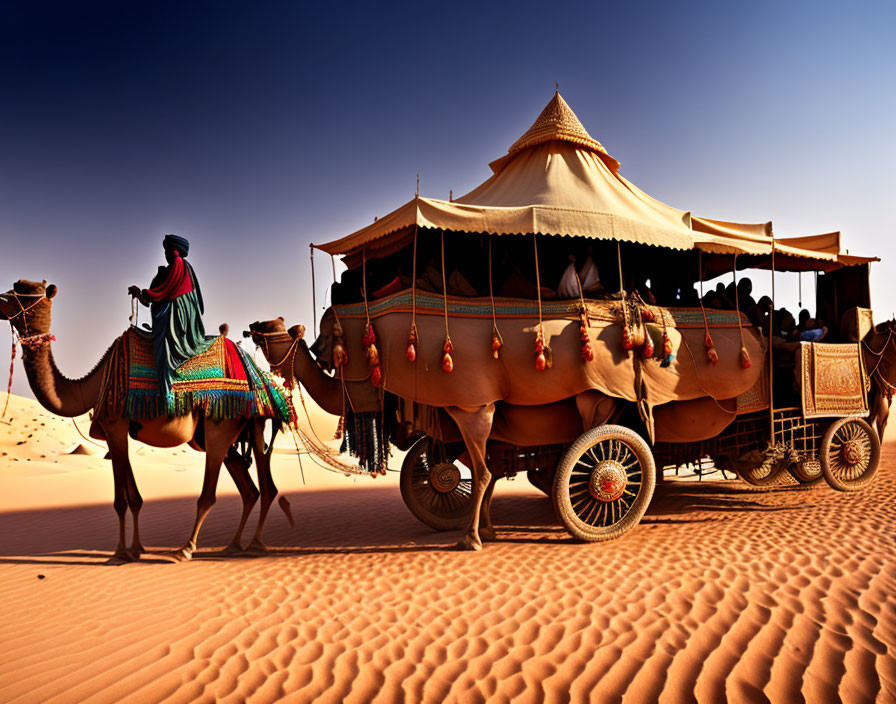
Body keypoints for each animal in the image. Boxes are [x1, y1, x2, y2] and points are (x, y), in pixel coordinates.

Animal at [0, 280, 288, 560]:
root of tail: (257, 377)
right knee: (255, 489)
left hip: (220, 425)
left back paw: (187, 549)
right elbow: (134, 497)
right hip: (229, 430)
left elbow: (120, 500)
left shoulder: (115, 424)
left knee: (211, 494)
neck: (90, 386)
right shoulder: (116, 432)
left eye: (19, 293)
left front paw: (119, 553)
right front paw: (136, 549)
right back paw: (239, 546)